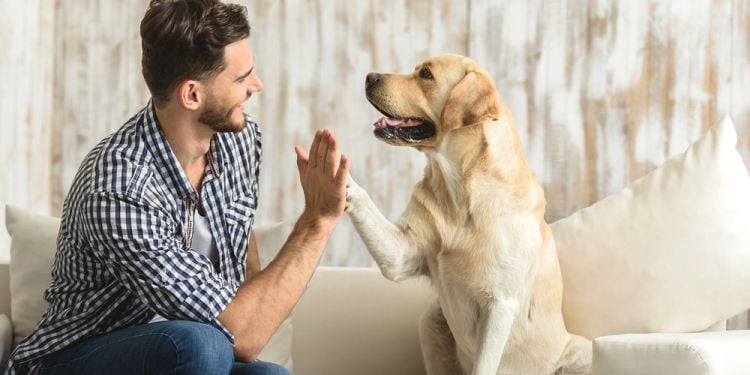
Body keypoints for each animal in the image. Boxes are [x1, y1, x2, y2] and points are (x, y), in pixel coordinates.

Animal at [346, 55, 592, 375]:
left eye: (426, 74)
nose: (369, 76)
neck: (459, 192)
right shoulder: (401, 254)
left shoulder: (500, 303)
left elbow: (484, 366)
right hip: (431, 321)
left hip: (582, 351)